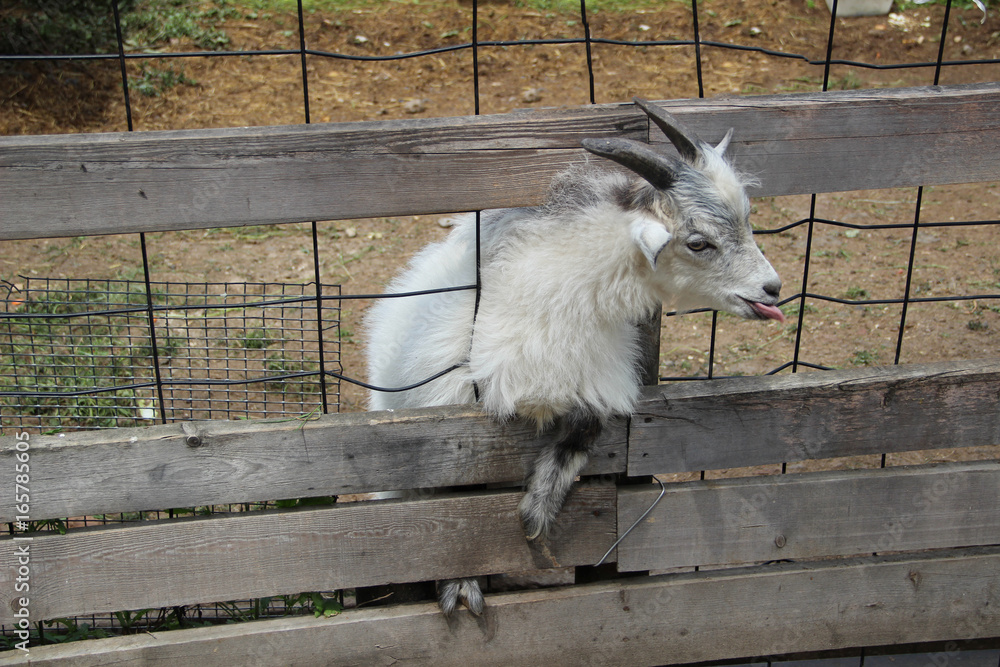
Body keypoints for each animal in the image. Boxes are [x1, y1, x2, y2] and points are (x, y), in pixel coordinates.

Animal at [364, 98, 784, 616]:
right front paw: (461, 586)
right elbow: (457, 496)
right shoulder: (450, 414)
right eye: (699, 241)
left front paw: (536, 513)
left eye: (746, 219)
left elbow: (581, 431)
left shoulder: (593, 382)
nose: (772, 290)